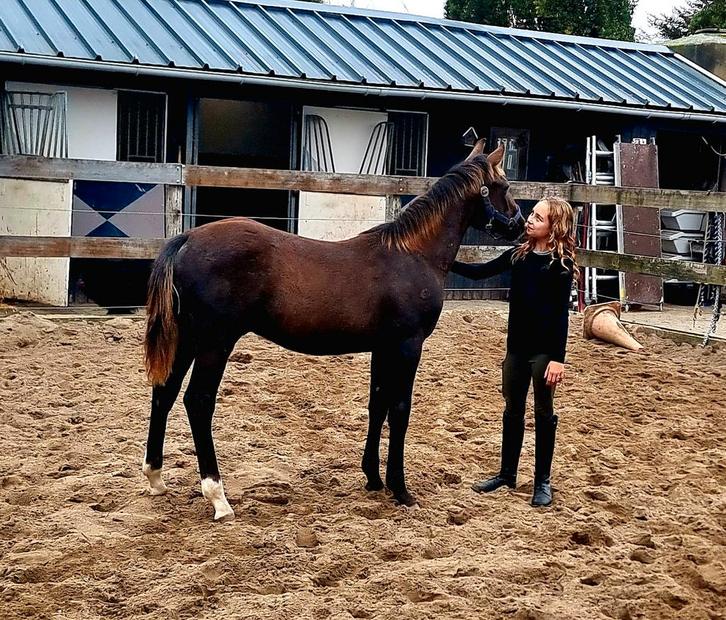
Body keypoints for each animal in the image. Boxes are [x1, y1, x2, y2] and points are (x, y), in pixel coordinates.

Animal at [142, 139, 524, 522]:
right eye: (504, 186)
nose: (521, 225)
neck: (411, 255)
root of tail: (188, 238)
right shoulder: (407, 345)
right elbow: (400, 409)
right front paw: (401, 489)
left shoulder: (383, 347)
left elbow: (377, 404)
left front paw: (373, 479)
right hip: (214, 344)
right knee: (198, 401)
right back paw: (218, 497)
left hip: (187, 341)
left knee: (165, 393)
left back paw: (156, 478)